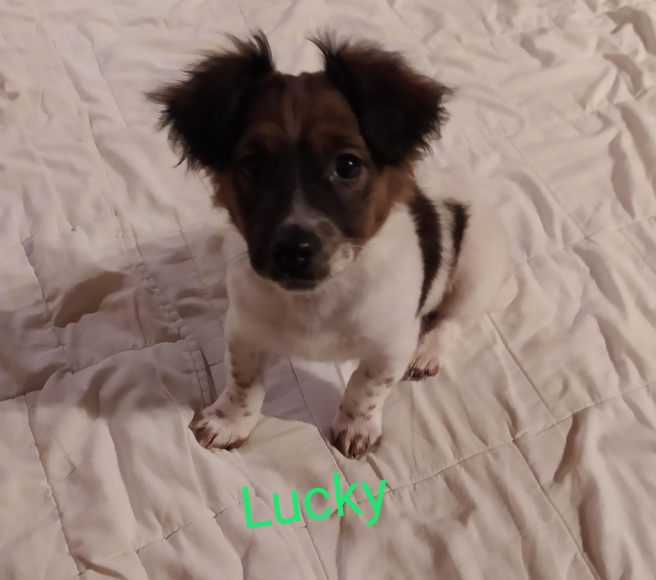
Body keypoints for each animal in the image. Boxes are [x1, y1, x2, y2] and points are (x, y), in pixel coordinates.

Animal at [149, 33, 517, 458]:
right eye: (253, 166)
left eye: (348, 166)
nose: (292, 251)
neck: (316, 300)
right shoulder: (245, 330)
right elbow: (243, 384)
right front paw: (229, 422)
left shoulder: (391, 344)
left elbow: (366, 387)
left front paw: (356, 427)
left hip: (477, 265)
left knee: (453, 320)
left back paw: (427, 354)